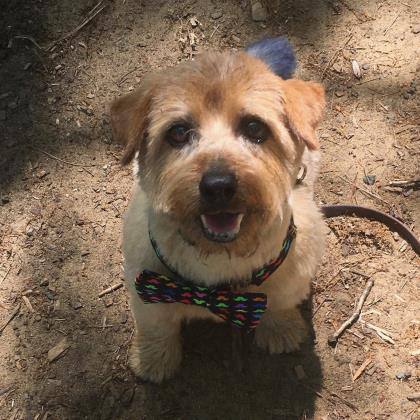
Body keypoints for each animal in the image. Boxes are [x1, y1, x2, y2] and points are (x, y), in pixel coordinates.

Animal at [111, 37, 328, 382]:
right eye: (178, 132)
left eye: (255, 127)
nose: (218, 186)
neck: (218, 260)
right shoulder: (145, 288)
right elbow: (158, 326)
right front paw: (154, 359)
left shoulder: (293, 275)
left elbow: (278, 303)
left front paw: (280, 330)